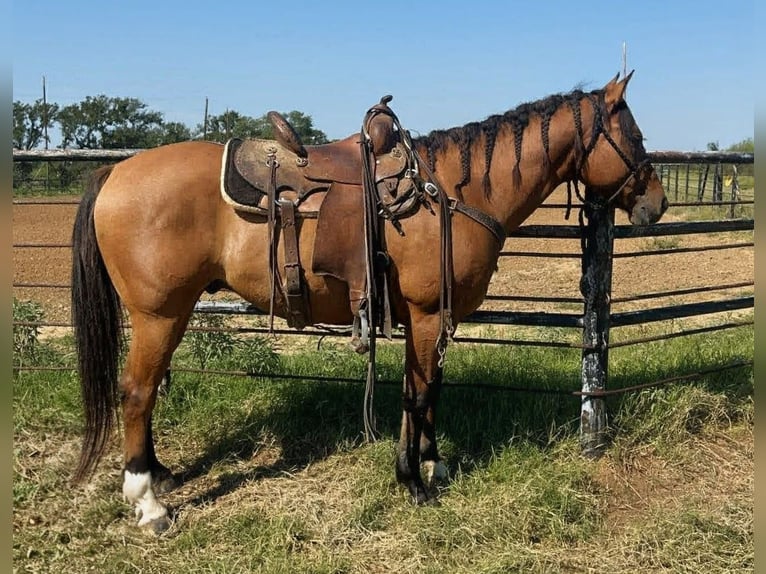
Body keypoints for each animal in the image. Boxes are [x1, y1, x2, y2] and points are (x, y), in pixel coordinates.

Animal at [70, 72, 667, 533]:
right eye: (635, 134)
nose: (657, 204)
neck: (453, 195)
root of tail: (115, 171)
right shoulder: (426, 316)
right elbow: (417, 396)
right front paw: (414, 482)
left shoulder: (429, 321)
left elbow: (427, 390)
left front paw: (433, 463)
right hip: (159, 315)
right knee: (137, 392)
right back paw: (148, 503)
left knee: (145, 393)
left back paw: (160, 473)